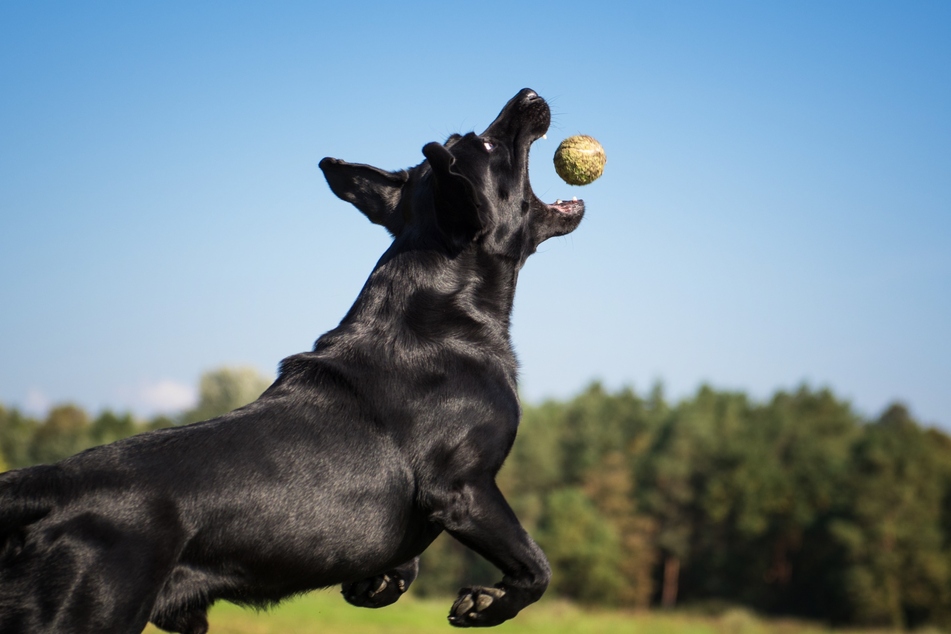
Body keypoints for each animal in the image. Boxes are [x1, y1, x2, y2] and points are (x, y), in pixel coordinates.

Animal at [0, 90, 584, 632]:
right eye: (485, 146)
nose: (528, 94)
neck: (441, 314)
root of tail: (53, 485)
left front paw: (381, 582)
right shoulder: (464, 488)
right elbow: (536, 565)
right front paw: (487, 603)